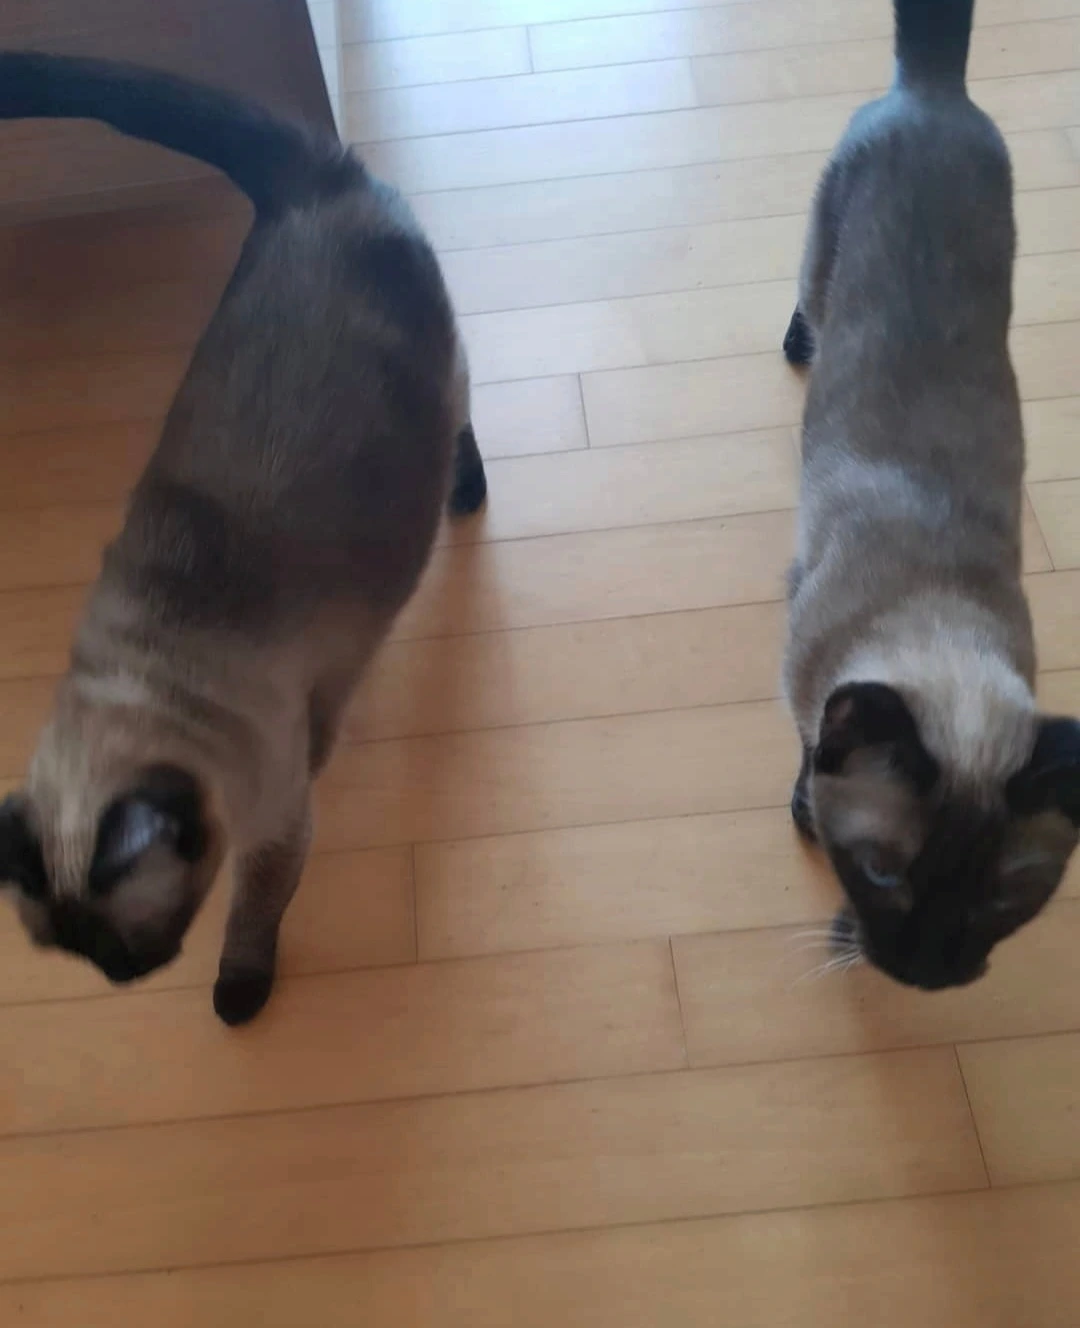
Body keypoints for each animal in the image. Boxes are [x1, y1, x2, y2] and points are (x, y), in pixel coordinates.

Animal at [0, 52, 487, 1024]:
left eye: (125, 938)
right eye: (73, 954)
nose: (125, 976)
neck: (157, 669)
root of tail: (319, 179)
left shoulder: (277, 821)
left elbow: (255, 914)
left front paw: (236, 995)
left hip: (445, 379)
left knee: (461, 418)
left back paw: (466, 496)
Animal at [782, 0, 1080, 990]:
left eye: (1003, 903)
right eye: (880, 875)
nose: (927, 976)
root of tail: (934, 92)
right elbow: (809, 751)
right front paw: (803, 809)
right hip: (819, 253)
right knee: (810, 300)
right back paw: (797, 345)